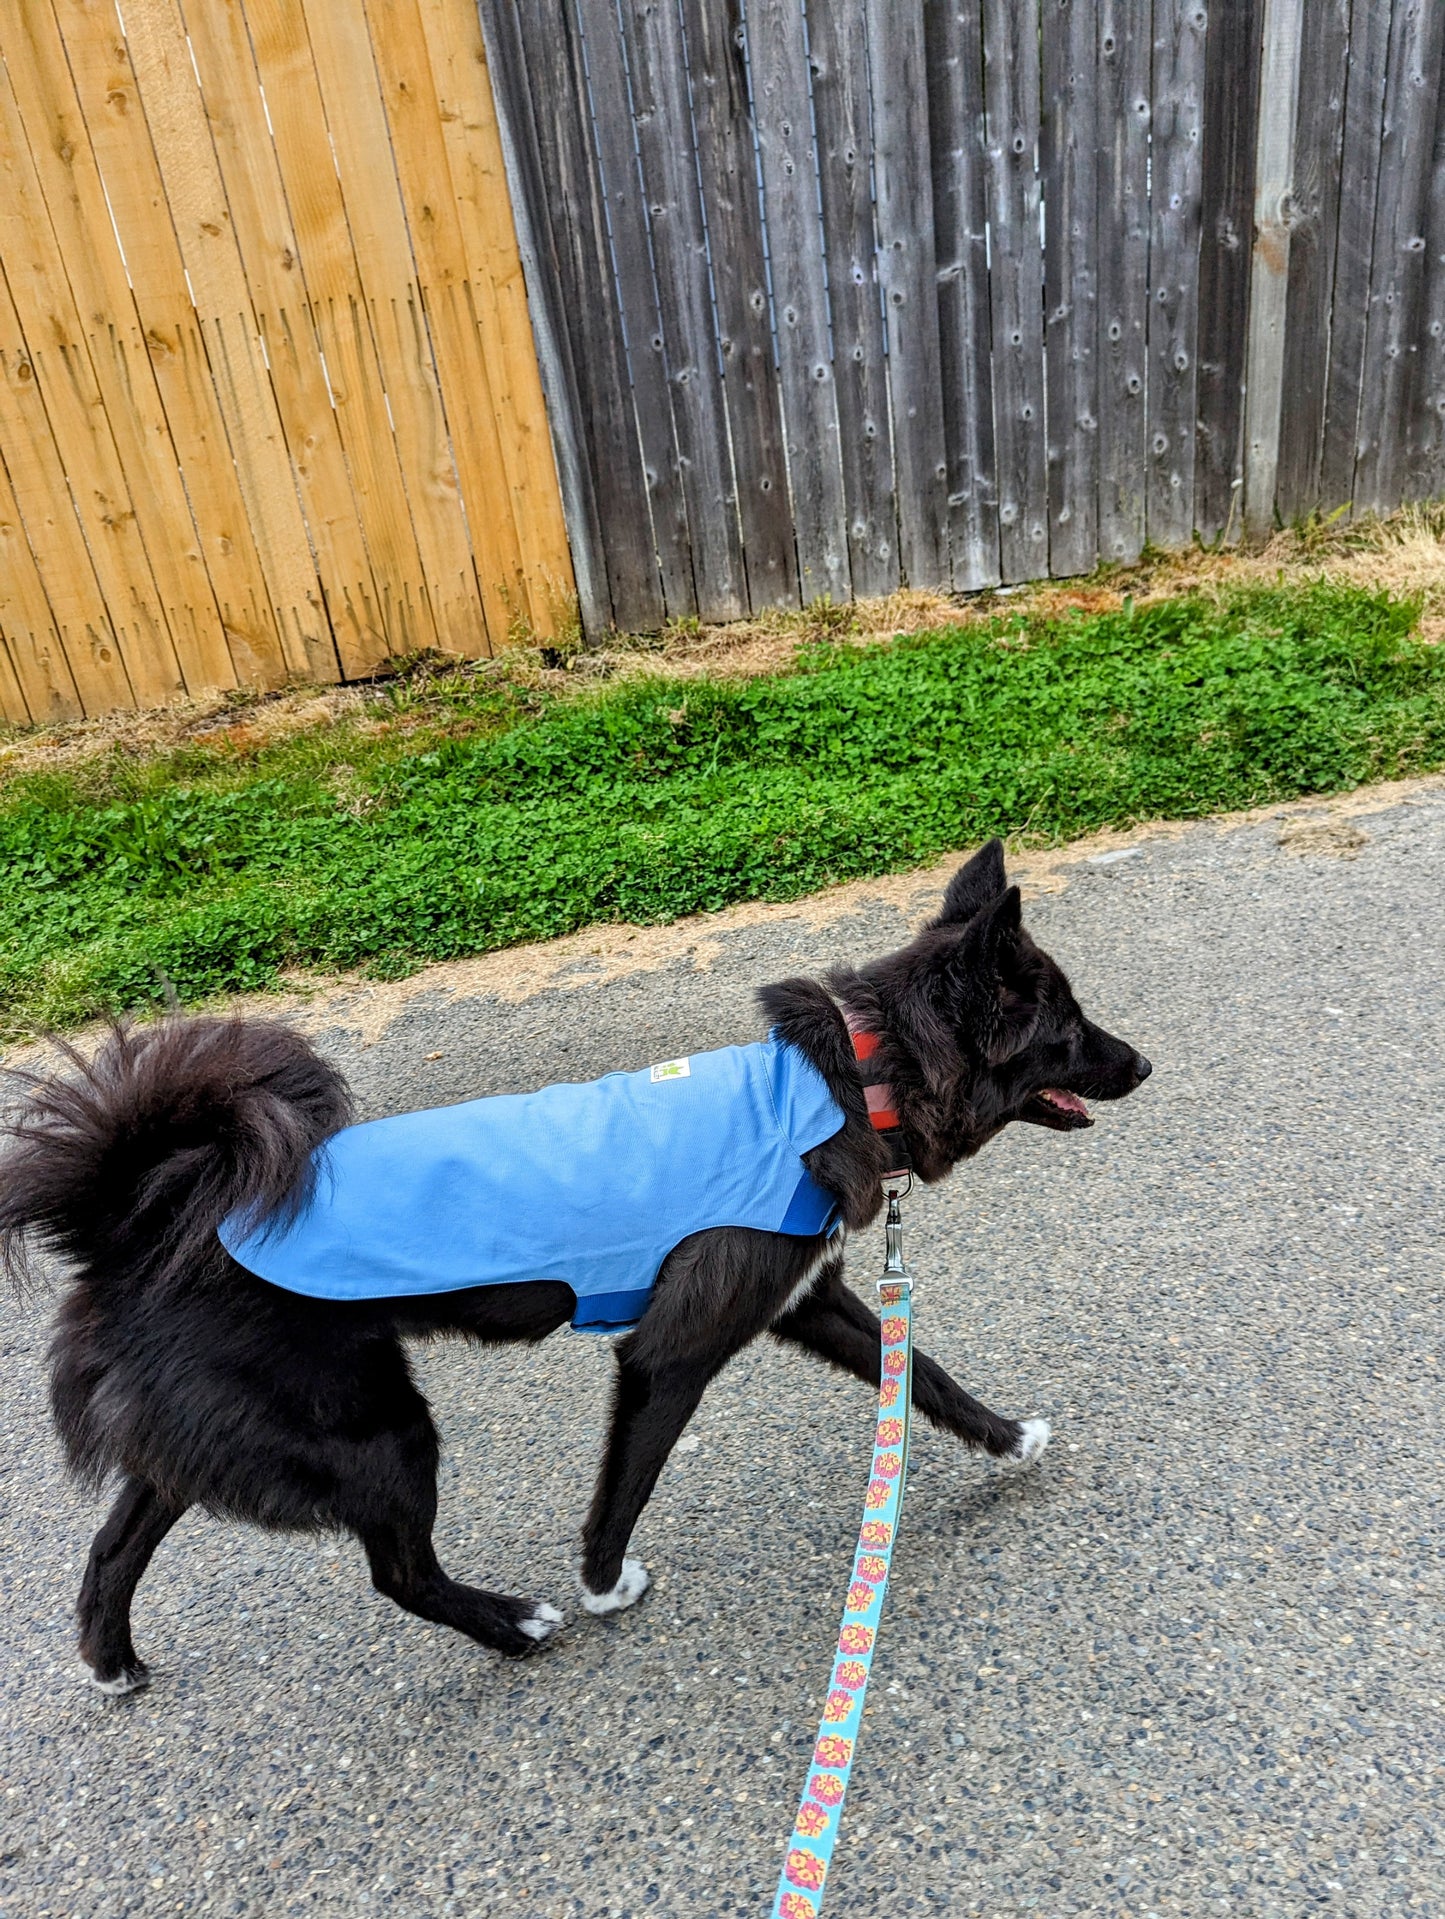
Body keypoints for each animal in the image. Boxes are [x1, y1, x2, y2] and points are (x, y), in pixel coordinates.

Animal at [0, 840, 1151, 1696]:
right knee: (398, 1571)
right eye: (1064, 1025)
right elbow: (625, 1482)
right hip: (375, 1432)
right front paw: (602, 1583)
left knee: (111, 1549)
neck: (850, 1083)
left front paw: (1005, 1439)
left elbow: (921, 1375)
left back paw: (110, 1661)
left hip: (220, 1437)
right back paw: (515, 1623)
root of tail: (132, 1228)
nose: (1142, 1063)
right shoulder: (669, 1350)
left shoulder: (807, 1300)